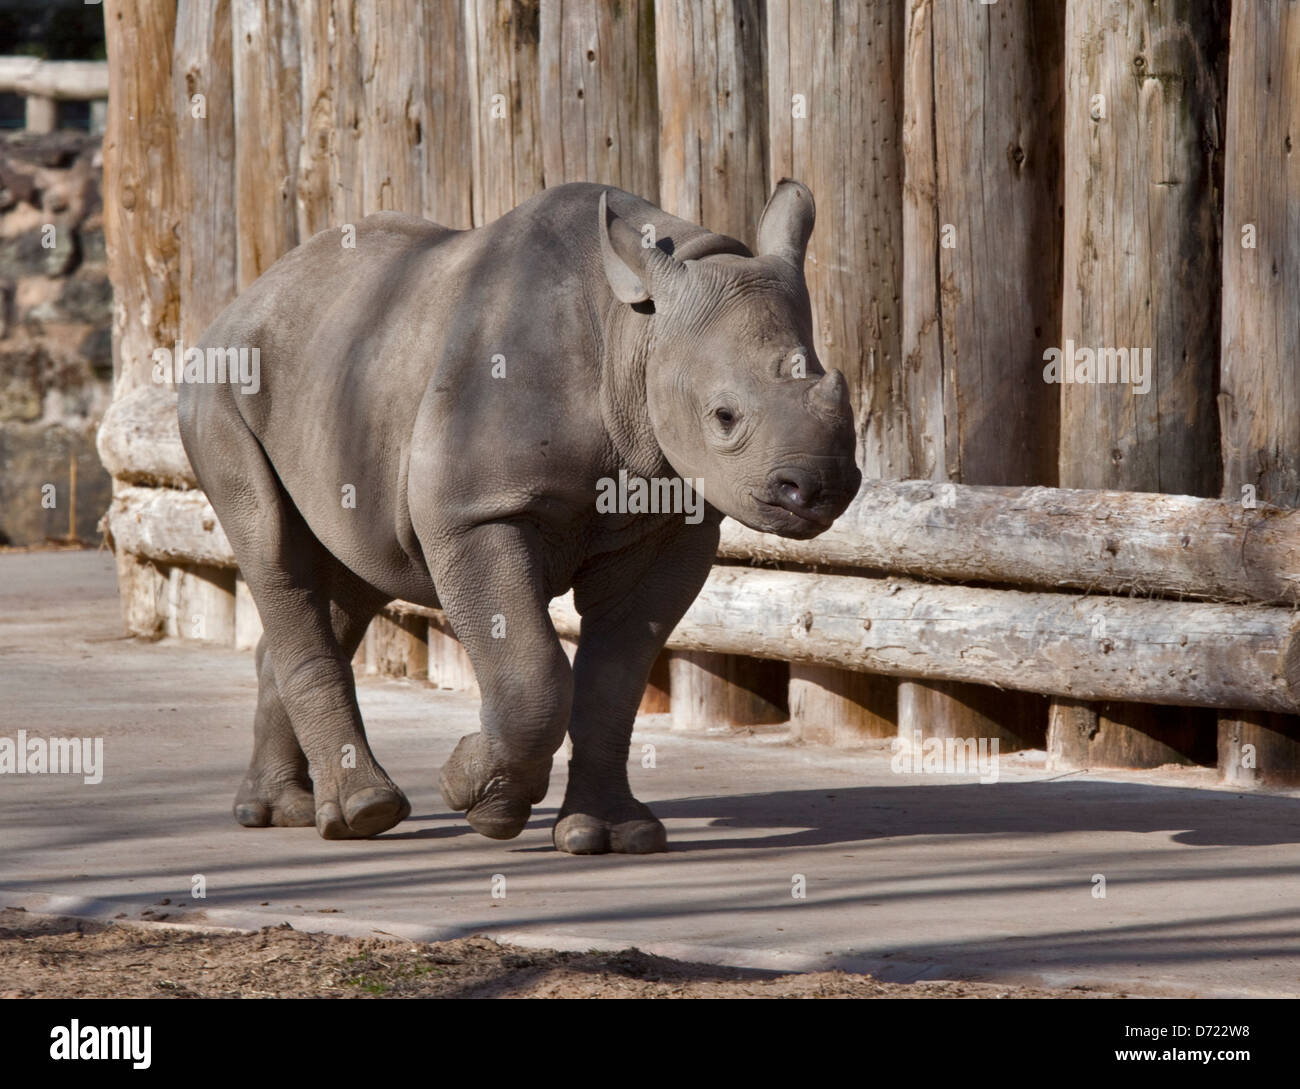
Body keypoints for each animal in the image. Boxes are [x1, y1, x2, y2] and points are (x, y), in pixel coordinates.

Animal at [178, 180, 857, 852]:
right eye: (724, 416)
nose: (818, 489)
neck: (636, 336)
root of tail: (245, 299)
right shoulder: (473, 512)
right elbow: (532, 672)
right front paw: (475, 796)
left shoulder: (671, 528)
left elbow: (615, 680)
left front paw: (613, 834)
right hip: (223, 384)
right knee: (273, 550)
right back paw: (364, 814)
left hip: (345, 381)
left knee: (353, 572)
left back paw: (284, 811)